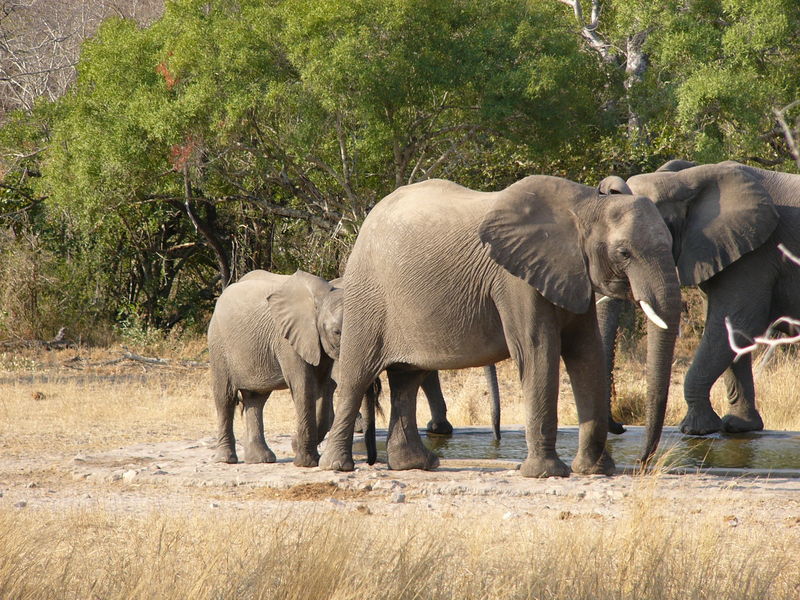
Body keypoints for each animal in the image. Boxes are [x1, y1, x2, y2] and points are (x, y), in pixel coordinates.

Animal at [318, 175, 680, 478]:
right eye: (624, 252)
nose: (642, 463)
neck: (585, 205)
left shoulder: (570, 274)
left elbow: (586, 352)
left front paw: (595, 471)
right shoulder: (515, 278)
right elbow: (538, 351)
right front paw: (545, 474)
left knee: (407, 378)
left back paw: (415, 465)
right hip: (368, 293)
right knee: (357, 374)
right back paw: (337, 466)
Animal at [600, 158, 800, 436]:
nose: (619, 427)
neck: (686, 181)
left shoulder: (757, 255)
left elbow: (734, 324)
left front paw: (695, 430)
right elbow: (728, 331)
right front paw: (738, 426)